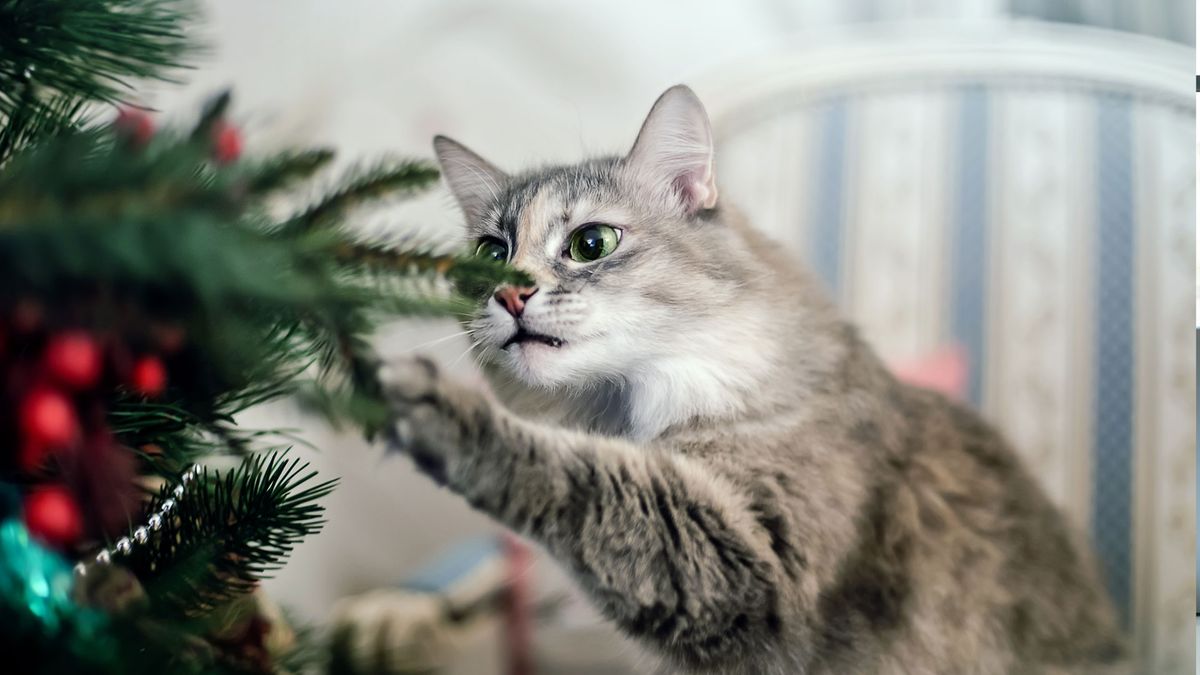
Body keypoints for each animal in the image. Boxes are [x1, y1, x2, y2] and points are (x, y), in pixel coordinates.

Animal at [379, 85, 1128, 672]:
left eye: (591, 243)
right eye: (489, 254)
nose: (508, 295)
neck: (621, 412)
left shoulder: (752, 560)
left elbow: (577, 477)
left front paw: (430, 405)